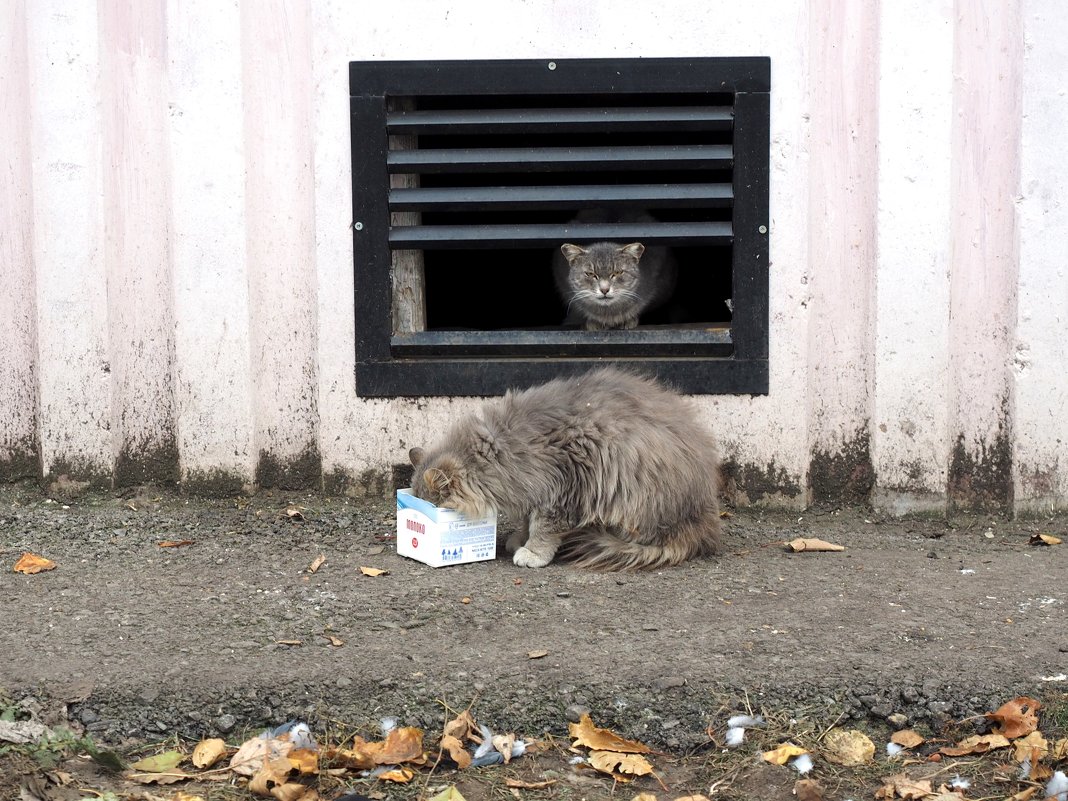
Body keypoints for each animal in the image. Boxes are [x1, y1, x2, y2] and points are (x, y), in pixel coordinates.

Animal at [405, 369, 717, 572]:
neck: (502, 448)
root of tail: (701, 516)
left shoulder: (561, 487)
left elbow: (544, 527)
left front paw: (532, 552)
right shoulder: (532, 487)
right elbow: (527, 520)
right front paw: (520, 538)